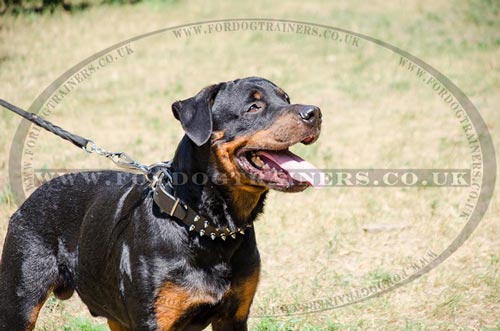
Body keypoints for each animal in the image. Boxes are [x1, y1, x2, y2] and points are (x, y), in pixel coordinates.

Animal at [0, 76, 320, 330]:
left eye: (285, 98)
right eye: (254, 107)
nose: (314, 112)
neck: (205, 226)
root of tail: (31, 197)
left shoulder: (234, 315)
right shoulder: (154, 319)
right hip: (20, 301)